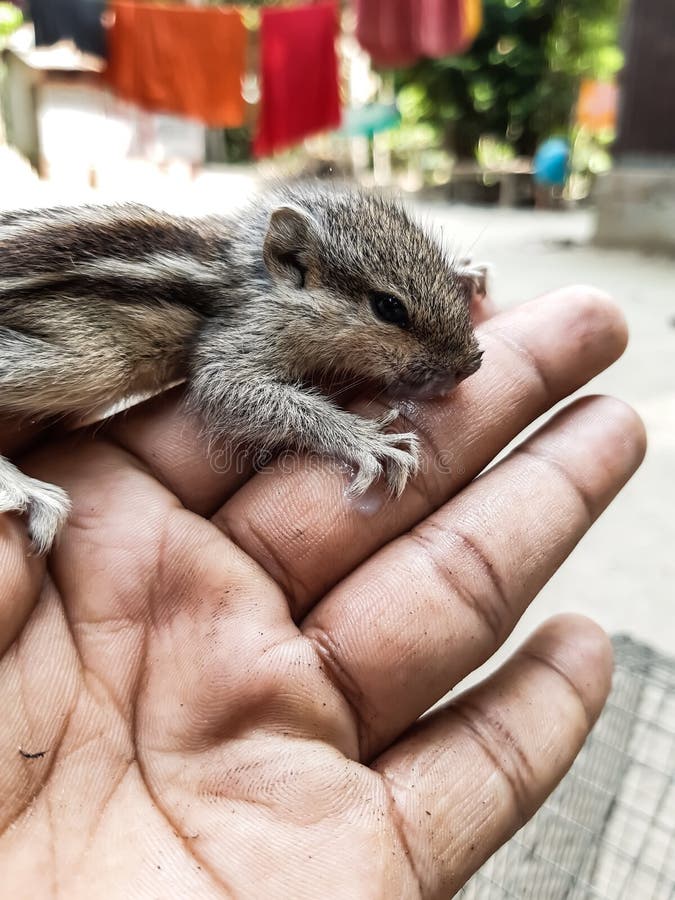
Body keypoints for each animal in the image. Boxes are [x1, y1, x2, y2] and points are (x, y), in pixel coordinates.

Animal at [0, 182, 486, 553]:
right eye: (388, 307)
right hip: (88, 360)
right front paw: (367, 440)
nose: (471, 365)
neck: (255, 271)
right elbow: (227, 385)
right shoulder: (238, 336)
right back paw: (27, 490)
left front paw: (468, 270)